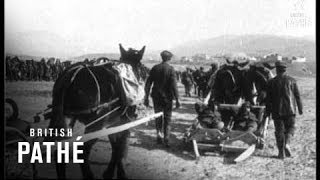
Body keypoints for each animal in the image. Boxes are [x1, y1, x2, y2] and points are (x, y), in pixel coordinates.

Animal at [46, 43, 148, 179]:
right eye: (142, 70)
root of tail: (72, 74)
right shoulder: (125, 122)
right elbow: (120, 147)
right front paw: (120, 173)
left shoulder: (113, 123)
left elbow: (115, 146)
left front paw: (109, 173)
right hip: (96, 124)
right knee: (82, 152)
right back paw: (89, 175)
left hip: (66, 117)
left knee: (60, 151)